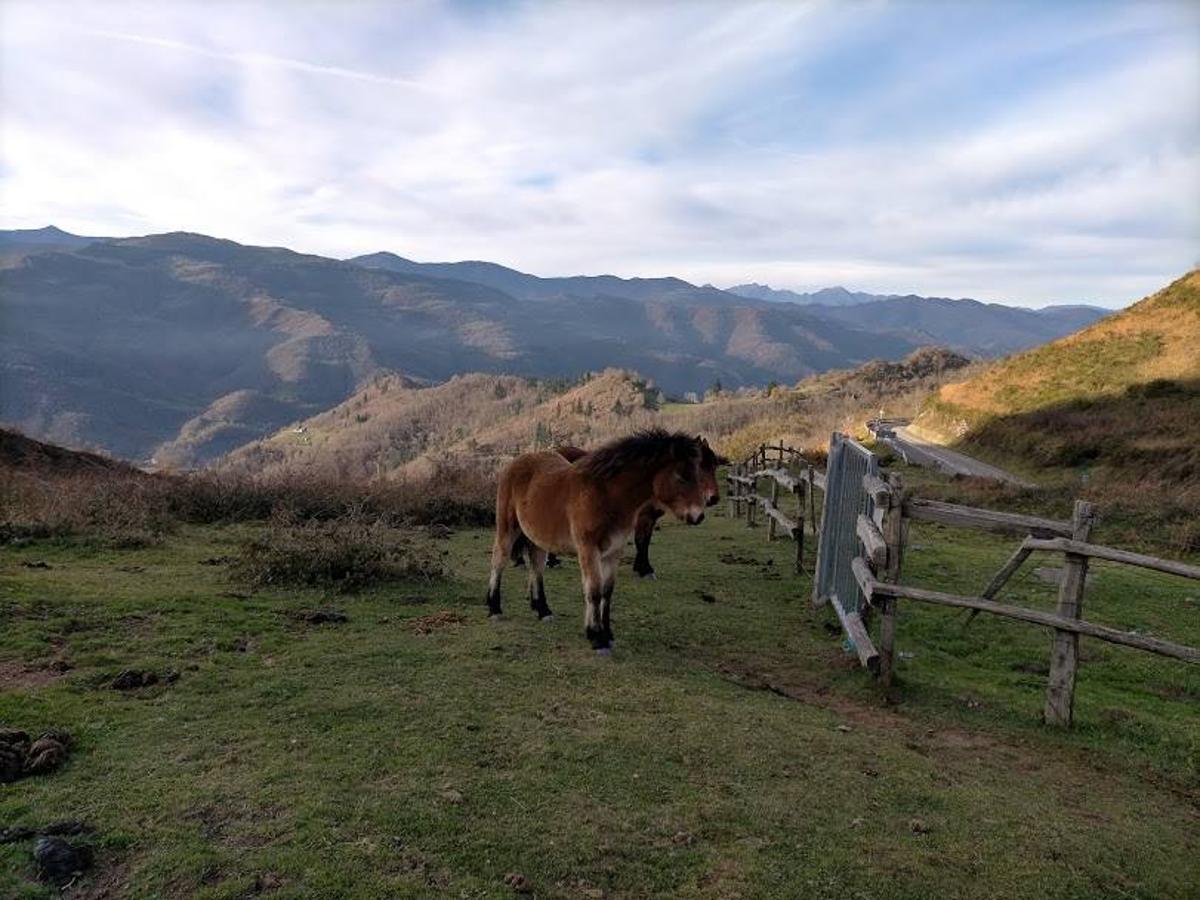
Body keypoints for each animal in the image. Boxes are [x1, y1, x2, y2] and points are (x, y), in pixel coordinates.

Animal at [511, 441, 724, 578]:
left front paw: (641, 567)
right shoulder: (642, 517)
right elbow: (641, 541)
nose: (713, 498)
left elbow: (645, 541)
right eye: (698, 466)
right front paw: (645, 570)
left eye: (714, 464)